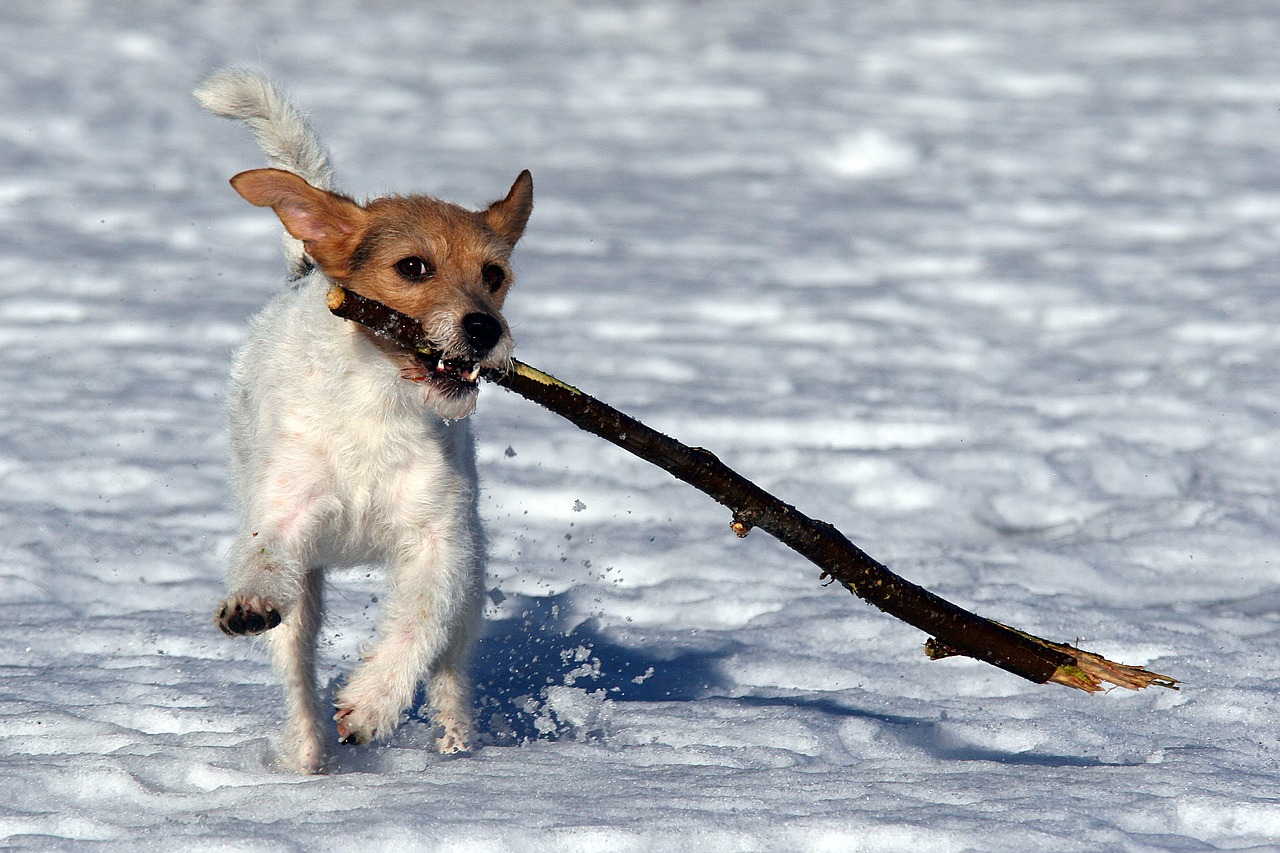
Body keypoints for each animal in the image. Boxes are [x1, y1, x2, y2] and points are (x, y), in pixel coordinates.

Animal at [190, 68, 529, 768]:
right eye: (413, 267)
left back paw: (455, 745)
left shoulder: (441, 544)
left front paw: (372, 704)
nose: (485, 329)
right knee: (296, 664)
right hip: (305, 588)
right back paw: (309, 753)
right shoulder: (285, 517)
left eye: (494, 274)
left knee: (452, 667)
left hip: (473, 576)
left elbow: (418, 627)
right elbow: (265, 560)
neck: (378, 404)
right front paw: (249, 603)